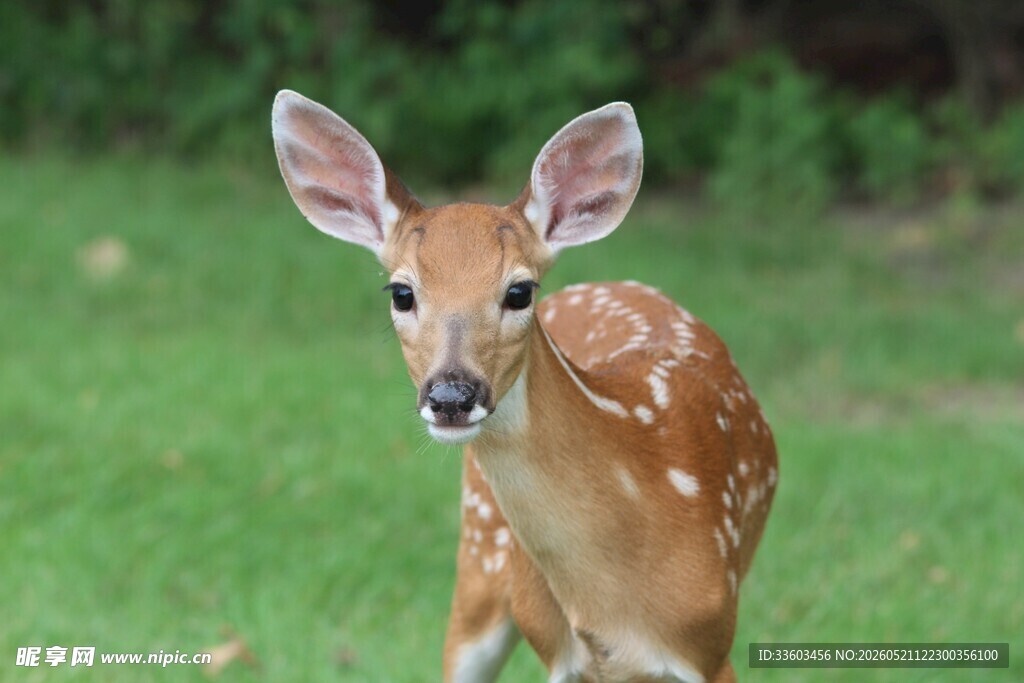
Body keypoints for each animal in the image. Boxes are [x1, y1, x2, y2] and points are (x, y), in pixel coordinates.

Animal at [271, 90, 778, 683]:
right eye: (401, 292)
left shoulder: (711, 643)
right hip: (480, 557)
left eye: (519, 291)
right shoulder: (559, 653)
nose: (451, 396)